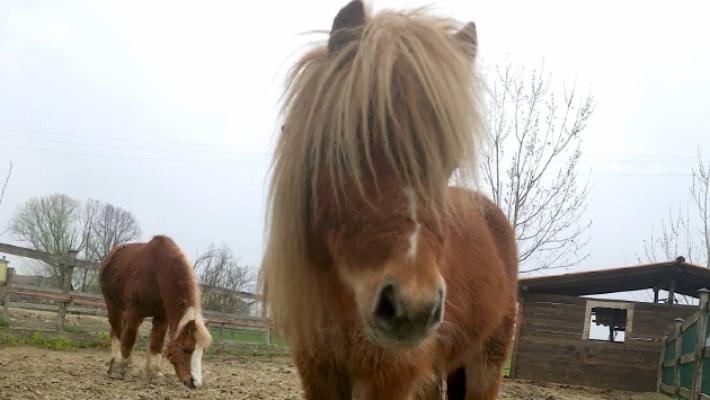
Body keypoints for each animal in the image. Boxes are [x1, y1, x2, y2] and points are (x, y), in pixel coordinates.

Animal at [99, 235, 212, 389]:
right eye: (186, 349)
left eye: (203, 351)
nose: (195, 383)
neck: (157, 273)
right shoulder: (134, 312)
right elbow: (128, 340)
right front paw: (118, 370)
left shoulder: (161, 317)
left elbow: (156, 344)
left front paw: (155, 374)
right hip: (113, 307)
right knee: (117, 333)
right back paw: (113, 364)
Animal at [260, 1, 518, 399]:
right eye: (343, 151)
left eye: (450, 165)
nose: (413, 309)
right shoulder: (319, 373)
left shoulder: (388, 378)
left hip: (486, 363)